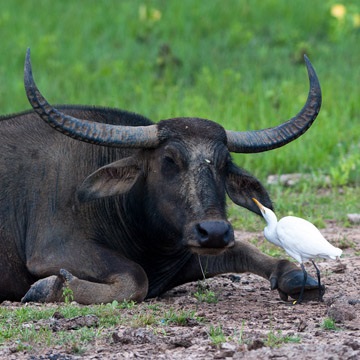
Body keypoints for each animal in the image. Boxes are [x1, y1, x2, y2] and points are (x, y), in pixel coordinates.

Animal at [0, 50, 322, 304]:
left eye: (224, 163)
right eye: (169, 160)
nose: (214, 231)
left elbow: (250, 250)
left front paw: (298, 279)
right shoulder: (53, 251)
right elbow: (136, 278)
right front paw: (47, 288)